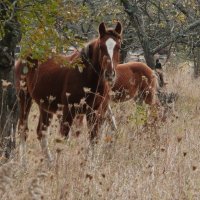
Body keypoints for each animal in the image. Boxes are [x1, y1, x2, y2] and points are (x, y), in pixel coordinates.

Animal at [14, 21, 122, 164]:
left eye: (119, 47)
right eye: (101, 46)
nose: (110, 74)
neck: (86, 75)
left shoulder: (95, 112)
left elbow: (93, 139)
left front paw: (91, 165)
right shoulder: (68, 112)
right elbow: (64, 139)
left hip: (45, 106)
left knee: (41, 132)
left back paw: (49, 162)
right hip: (24, 98)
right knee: (23, 129)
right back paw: (24, 164)